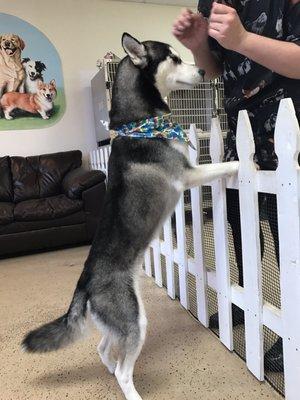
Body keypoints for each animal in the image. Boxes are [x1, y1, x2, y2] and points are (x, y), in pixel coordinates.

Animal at [21, 33, 239, 400]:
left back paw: (109, 368)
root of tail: (84, 284)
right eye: (175, 58)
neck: (140, 124)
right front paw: (249, 162)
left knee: (103, 349)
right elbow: (226, 165)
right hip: (134, 321)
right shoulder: (187, 175)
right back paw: (127, 385)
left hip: (122, 322)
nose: (204, 69)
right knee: (125, 371)